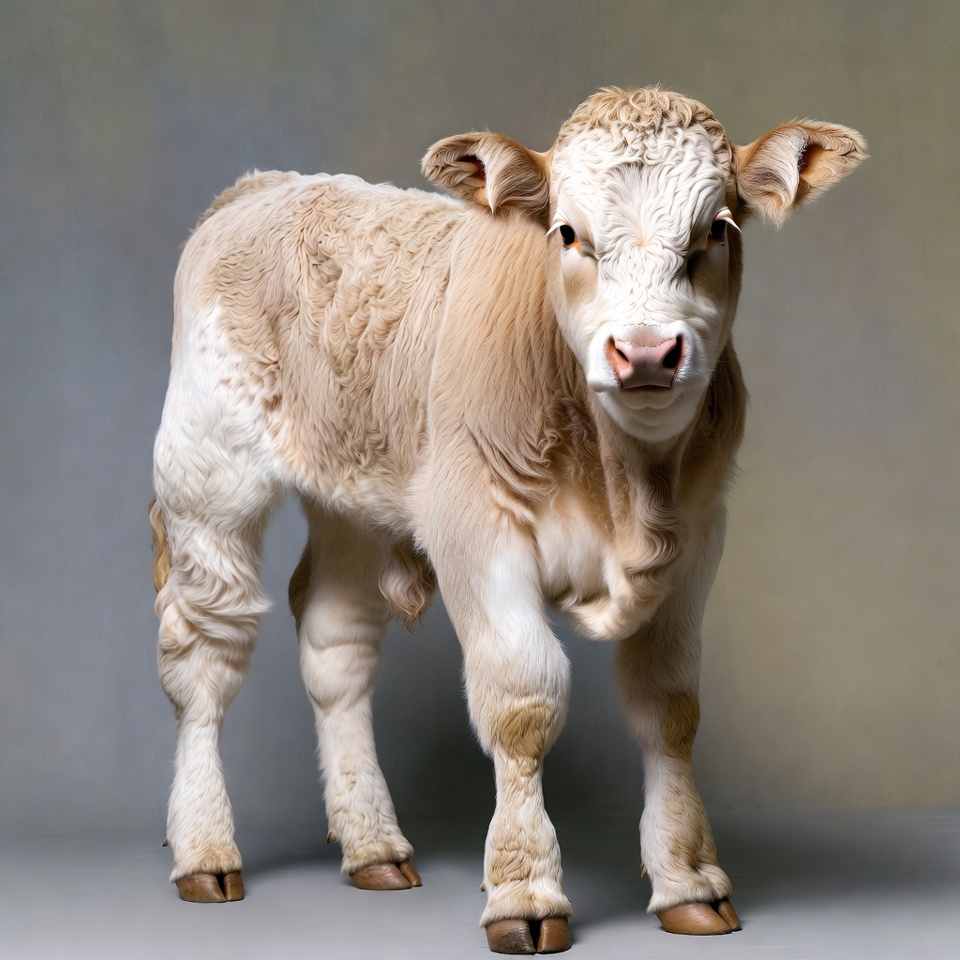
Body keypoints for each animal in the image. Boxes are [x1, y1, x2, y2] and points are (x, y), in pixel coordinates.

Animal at [150, 86, 865, 954]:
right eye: (567, 231)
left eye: (718, 230)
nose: (647, 353)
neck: (628, 484)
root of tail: (264, 186)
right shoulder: (474, 523)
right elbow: (524, 701)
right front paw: (524, 890)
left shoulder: (700, 537)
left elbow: (670, 708)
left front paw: (689, 880)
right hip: (208, 475)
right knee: (205, 658)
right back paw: (204, 851)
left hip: (352, 492)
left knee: (335, 643)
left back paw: (373, 845)